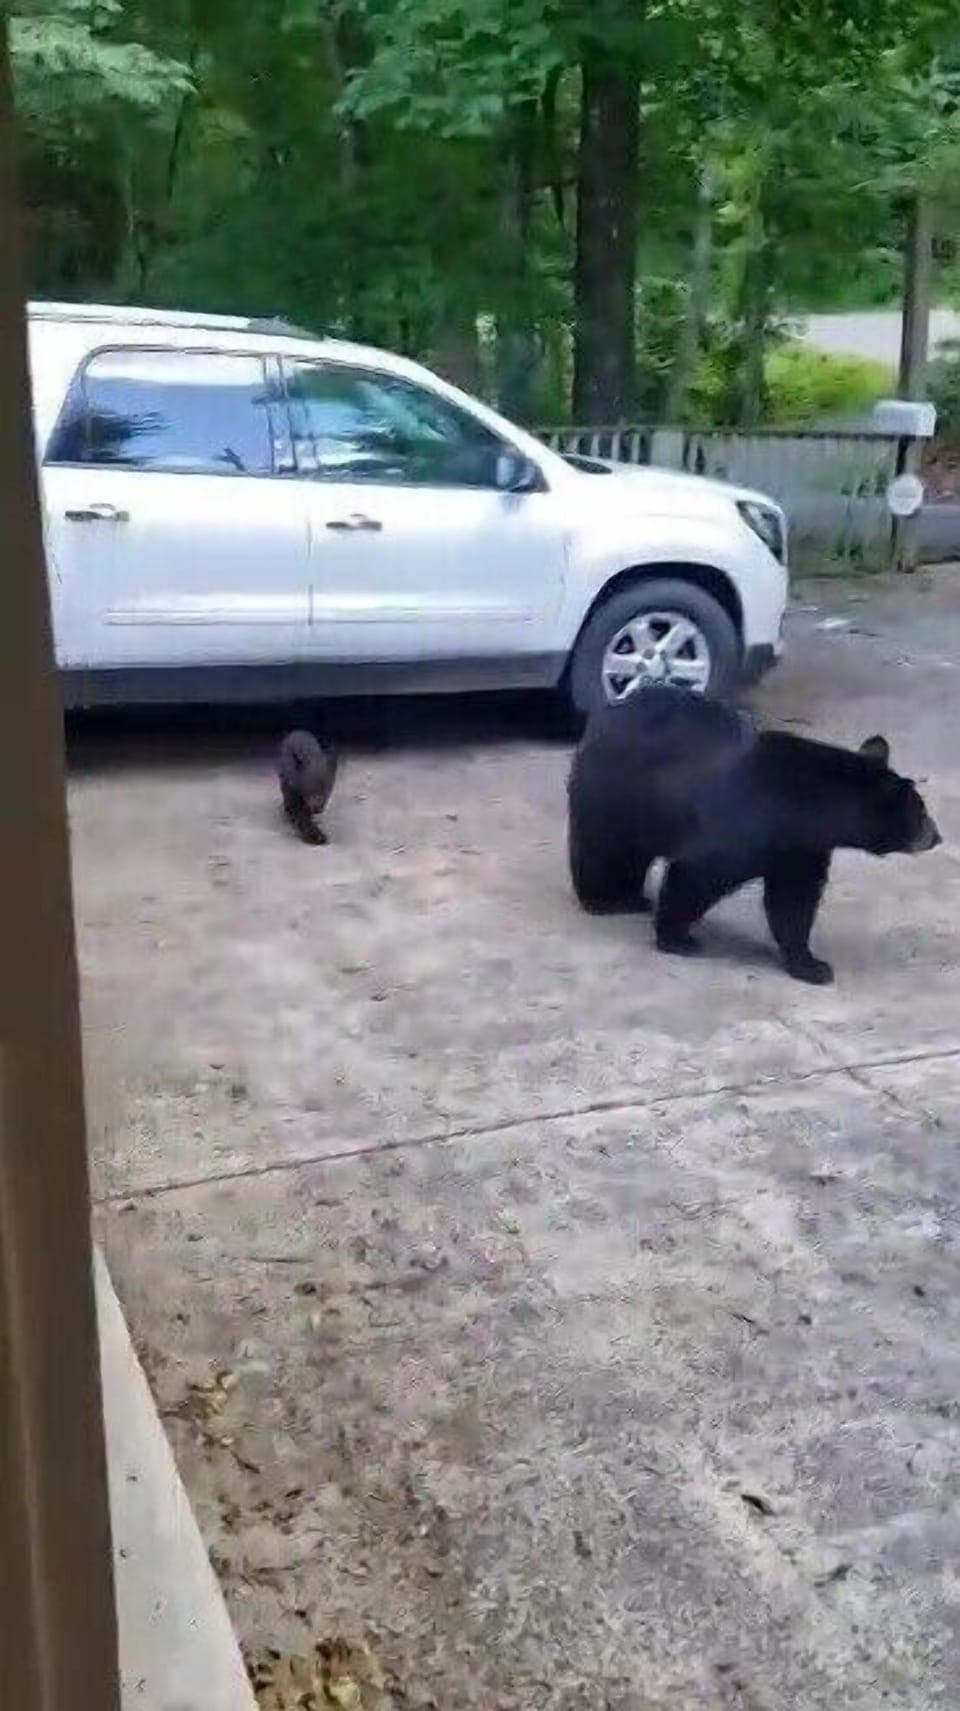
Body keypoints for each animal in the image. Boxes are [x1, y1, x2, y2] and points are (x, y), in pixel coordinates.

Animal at [567, 686, 941, 985]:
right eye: (921, 811)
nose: (937, 836)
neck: (808, 808)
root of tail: (609, 708)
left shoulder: (803, 848)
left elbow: (793, 902)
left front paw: (812, 965)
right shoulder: (745, 824)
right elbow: (697, 875)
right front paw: (679, 939)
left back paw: (634, 897)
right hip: (615, 789)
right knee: (605, 850)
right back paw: (607, 900)